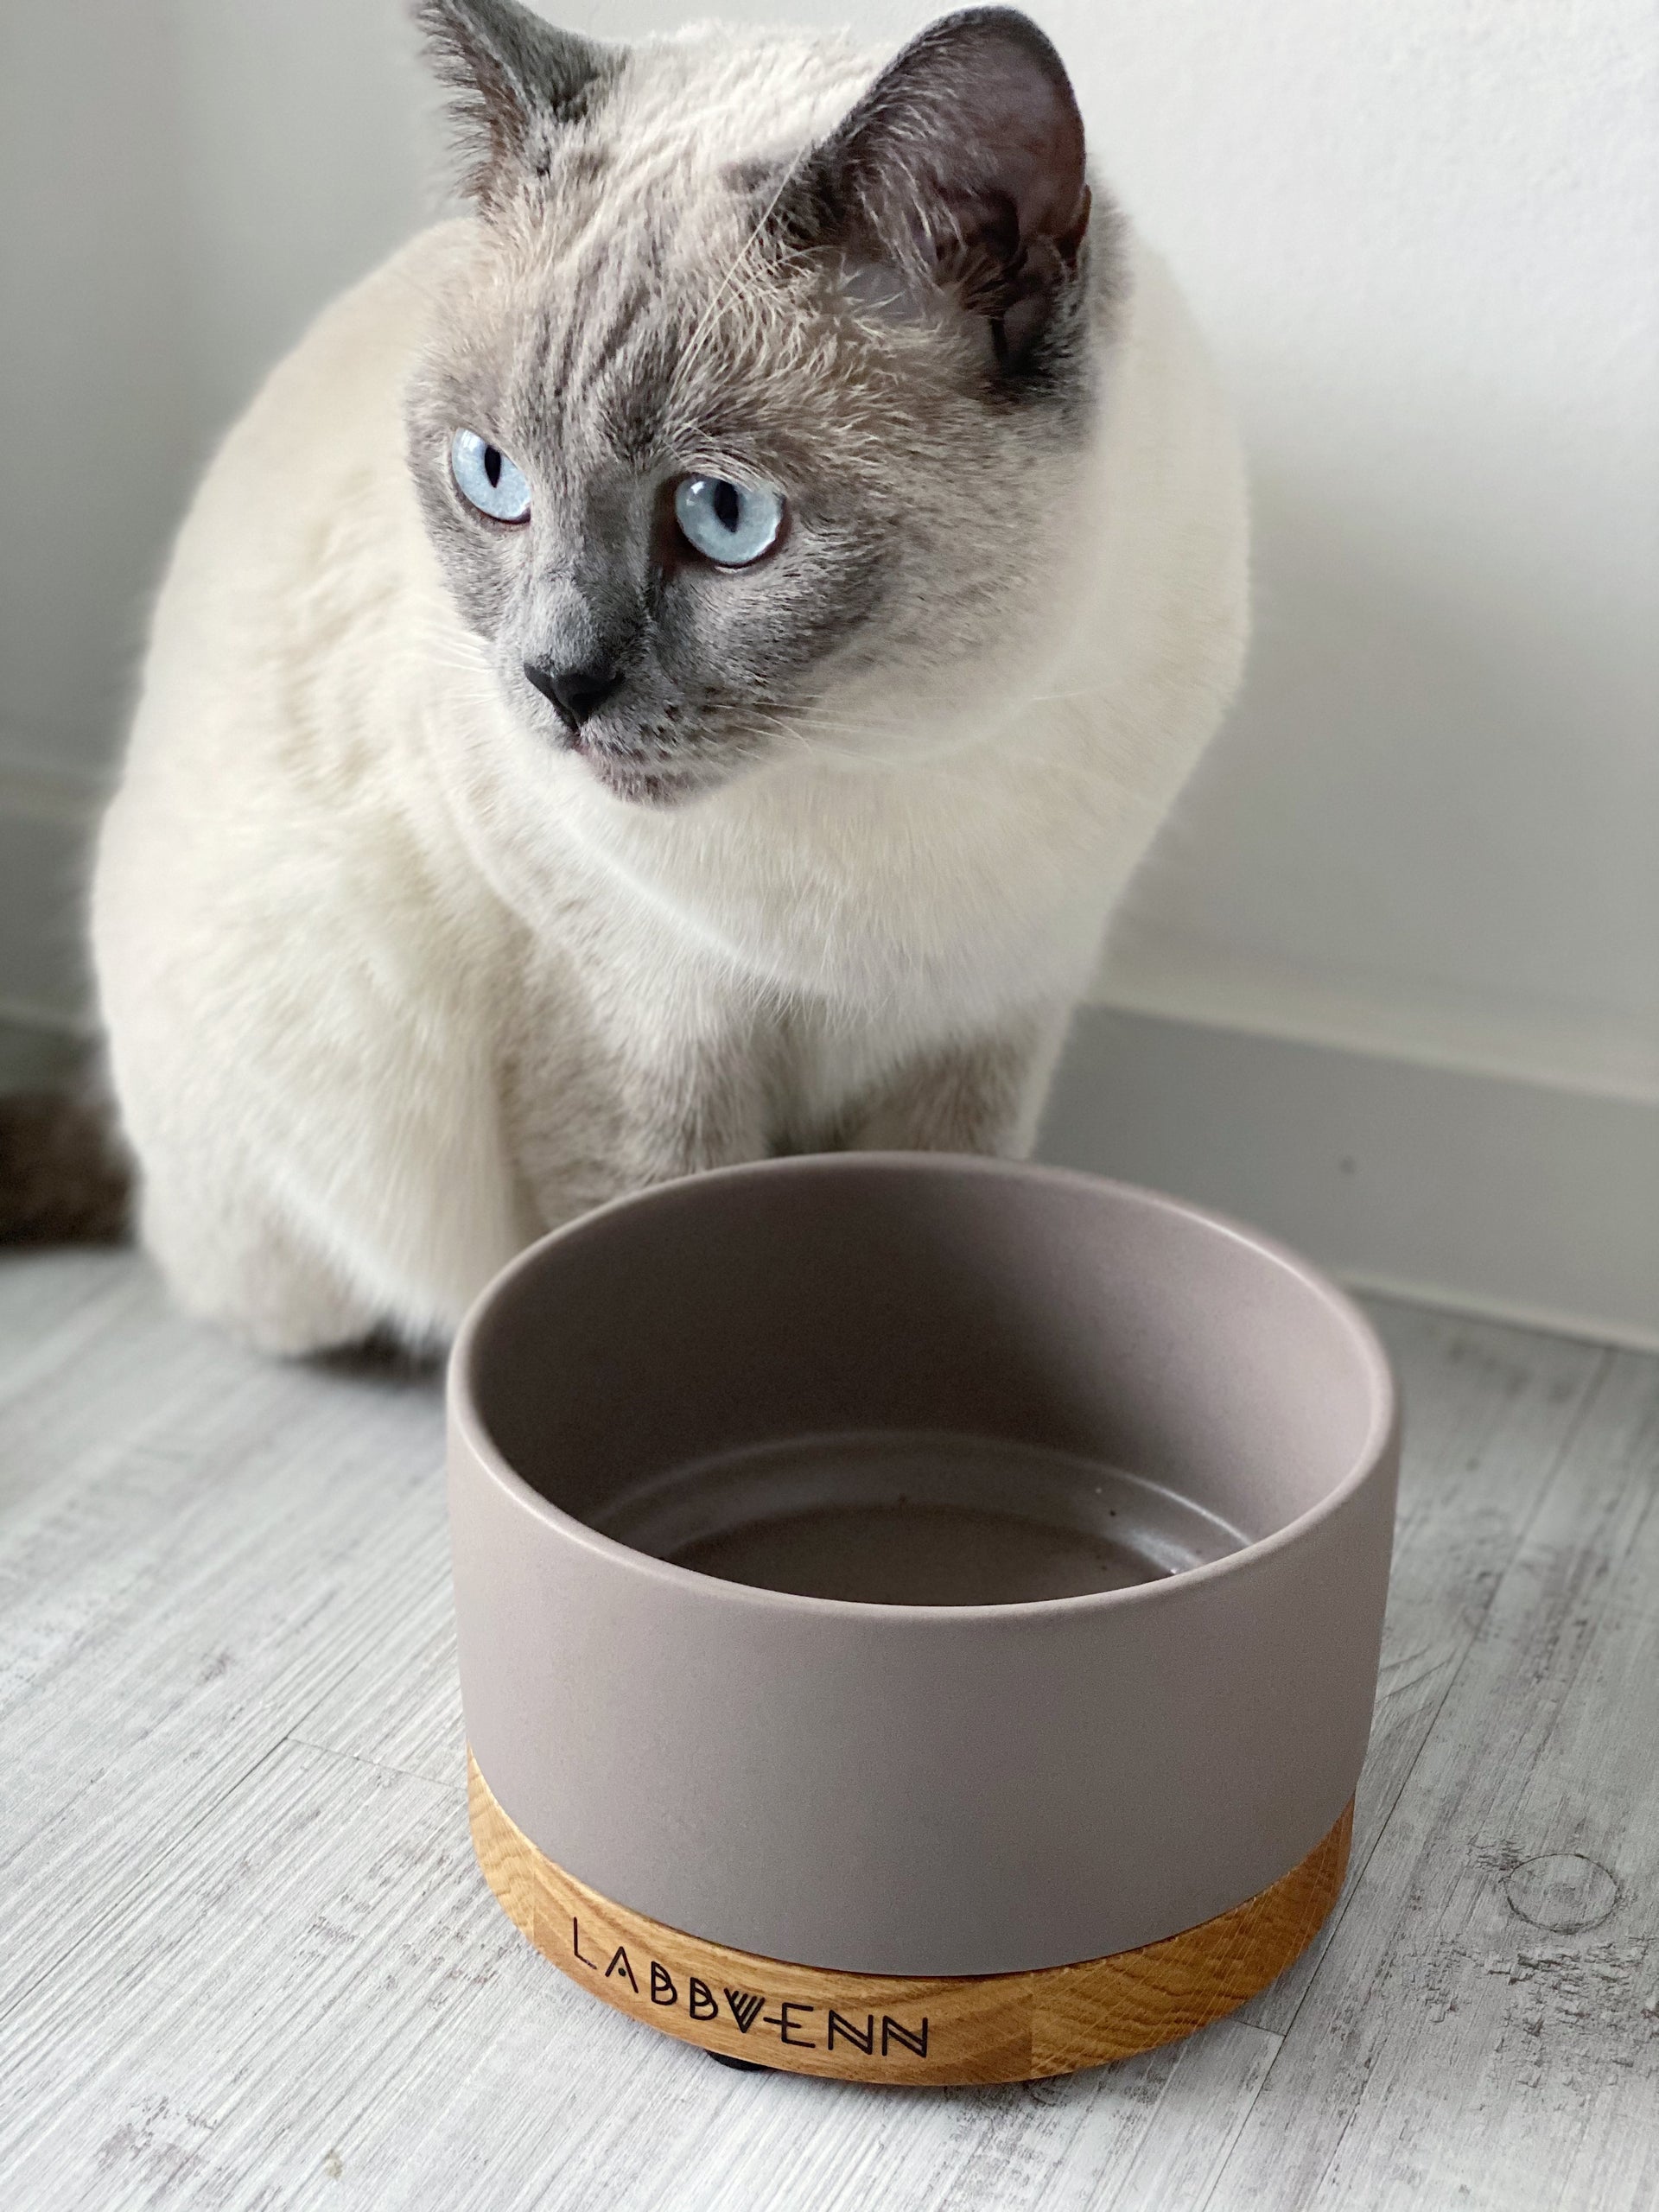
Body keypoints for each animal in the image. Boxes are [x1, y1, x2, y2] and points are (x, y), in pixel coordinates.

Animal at [81, 0, 1247, 1353]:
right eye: (491, 477)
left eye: (723, 516)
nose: (554, 683)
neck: (901, 754)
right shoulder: (633, 1039)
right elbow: (653, 1255)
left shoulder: (988, 1025)